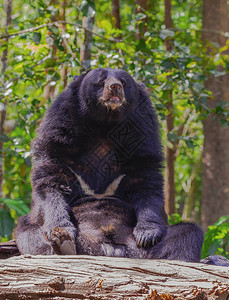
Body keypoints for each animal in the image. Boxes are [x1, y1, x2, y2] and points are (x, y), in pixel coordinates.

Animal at [14, 67, 204, 260]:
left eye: (124, 82)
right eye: (100, 81)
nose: (115, 87)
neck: (104, 125)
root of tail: (109, 249)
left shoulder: (143, 136)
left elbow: (146, 181)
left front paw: (146, 235)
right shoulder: (60, 134)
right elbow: (52, 181)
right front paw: (62, 231)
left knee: (188, 233)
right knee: (28, 232)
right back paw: (63, 245)